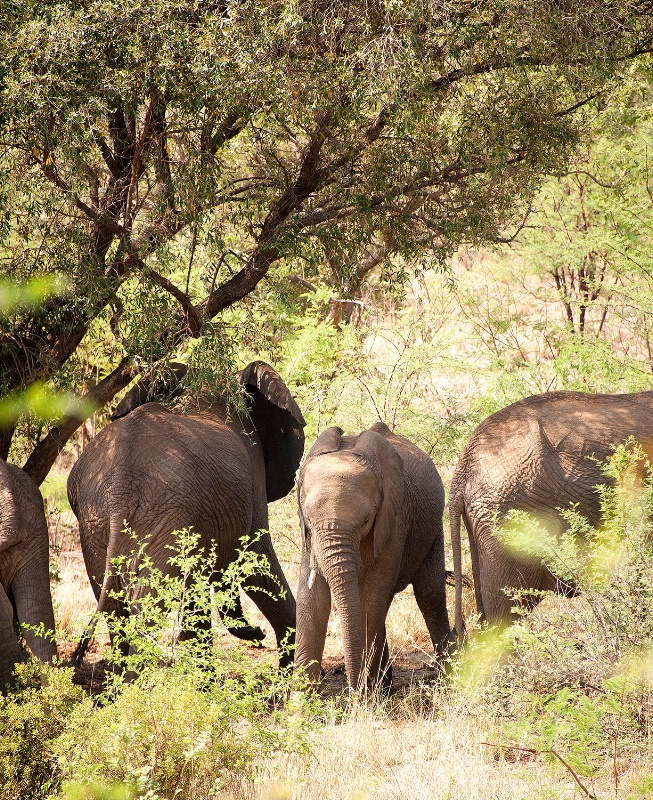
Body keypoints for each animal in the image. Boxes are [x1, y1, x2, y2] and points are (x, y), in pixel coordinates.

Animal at [67, 360, 306, 664]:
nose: (258, 634)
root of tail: (121, 479)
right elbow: (256, 558)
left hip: (96, 523)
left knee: (117, 610)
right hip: (164, 516)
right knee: (147, 609)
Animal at [296, 422, 454, 692]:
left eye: (366, 520)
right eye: (308, 517)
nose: (351, 692)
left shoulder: (395, 519)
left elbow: (370, 599)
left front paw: (366, 695)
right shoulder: (308, 536)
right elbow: (312, 599)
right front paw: (302, 698)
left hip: (433, 529)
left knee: (429, 595)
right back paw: (386, 685)